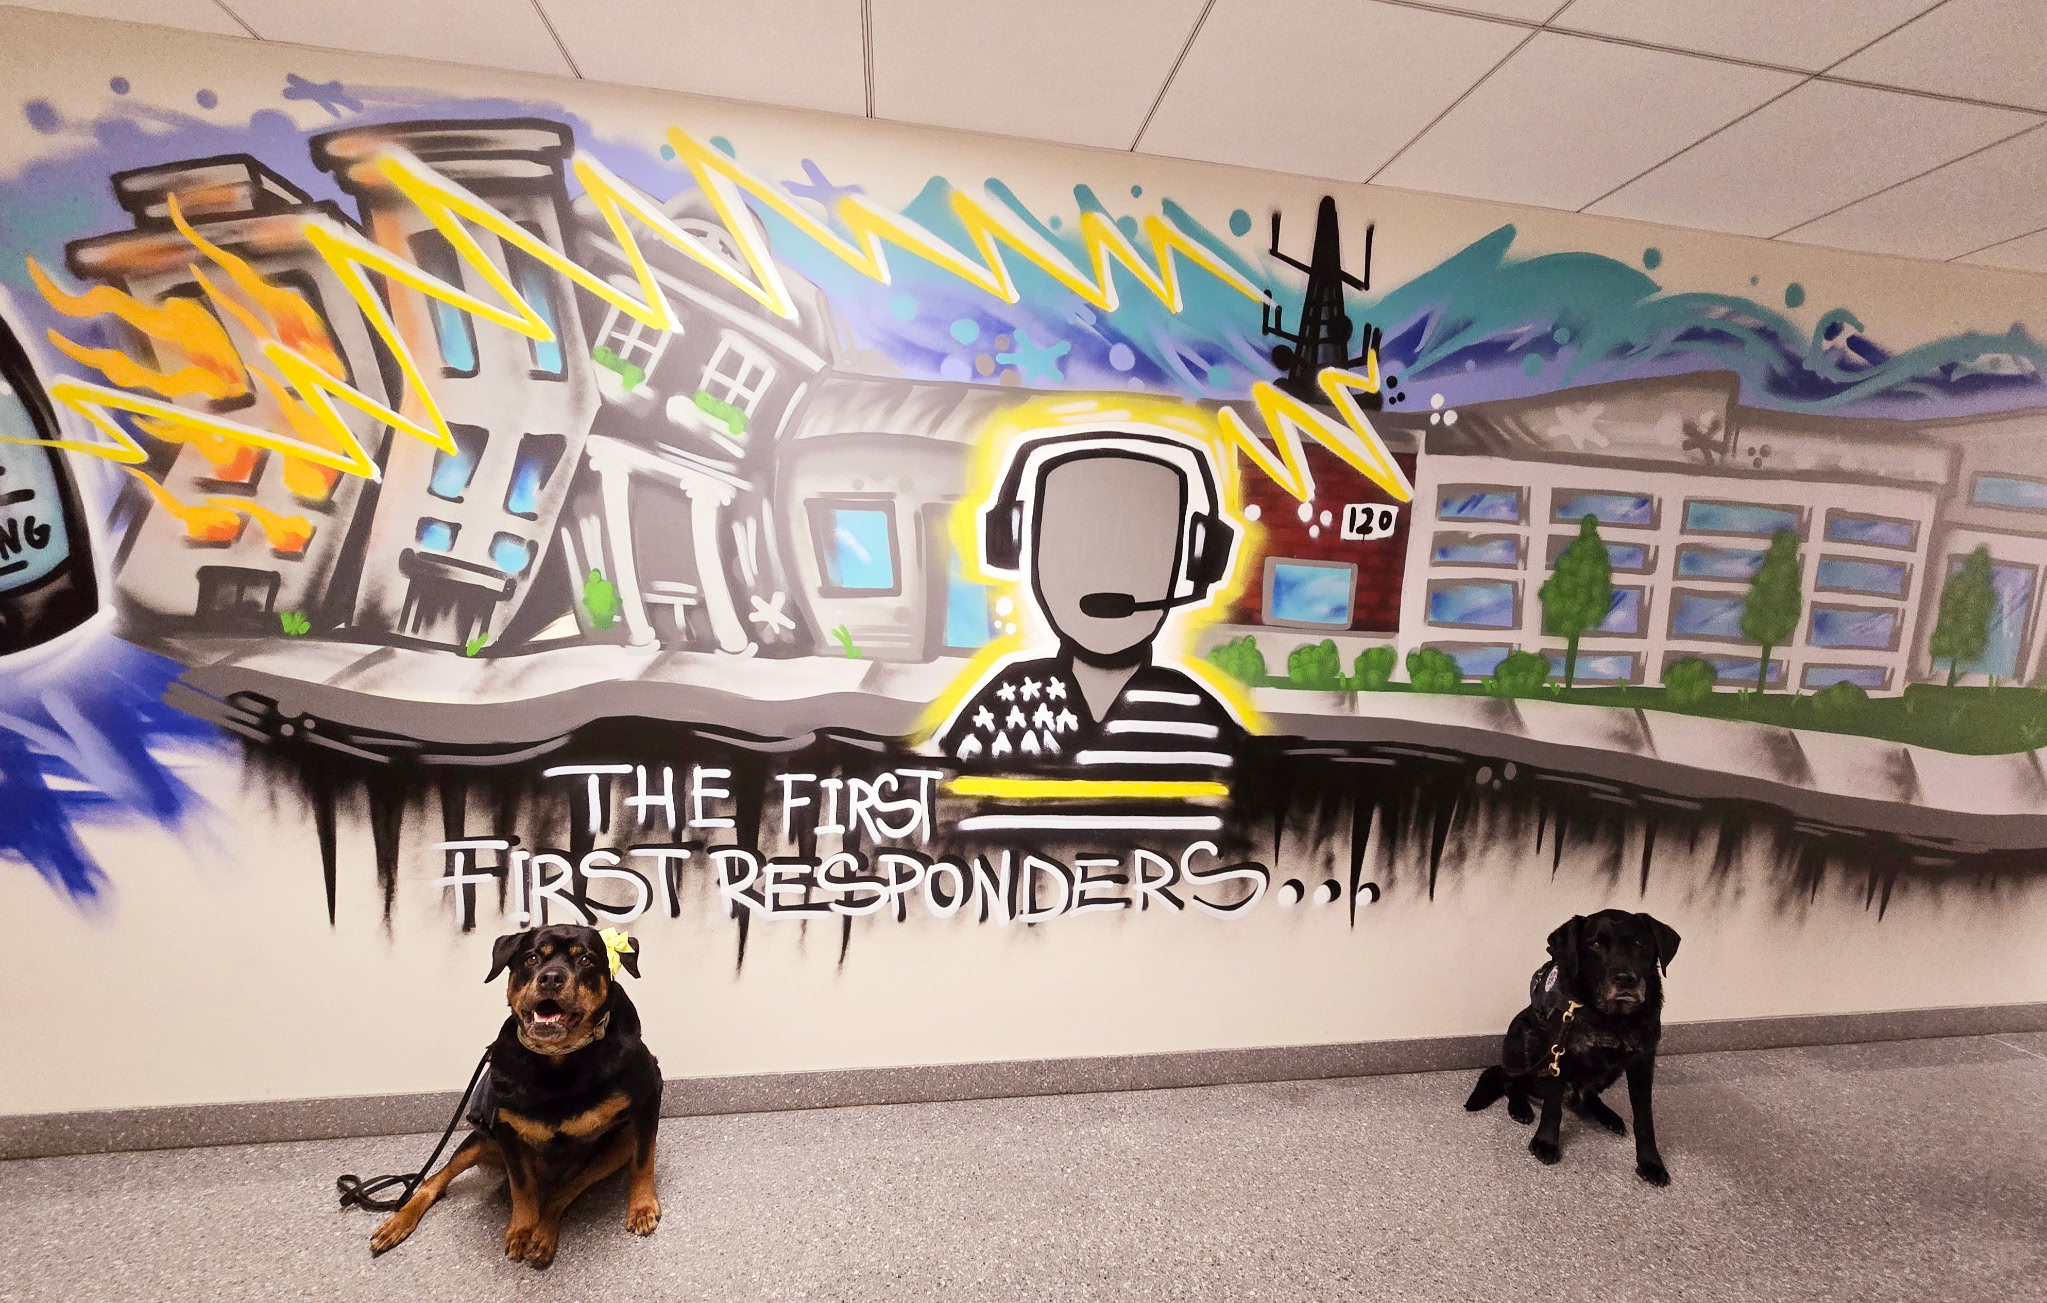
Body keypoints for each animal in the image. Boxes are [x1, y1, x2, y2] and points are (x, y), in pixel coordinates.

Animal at [369, 924, 663, 1267]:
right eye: (532, 958)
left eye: (586, 960)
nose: (551, 978)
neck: (558, 1061)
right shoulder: (505, 1128)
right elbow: (521, 1187)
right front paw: (521, 1229)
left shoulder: (648, 1097)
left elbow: (643, 1161)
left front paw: (642, 1208)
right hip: (481, 1139)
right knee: (434, 1180)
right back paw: (399, 1221)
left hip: (615, 1146)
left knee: (561, 1194)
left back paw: (543, 1235)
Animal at [1464, 910, 1679, 1185]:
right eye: (1595, 944)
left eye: (1640, 944)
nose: (1626, 979)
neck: (1611, 1018)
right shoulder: (1561, 1054)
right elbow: (1552, 1108)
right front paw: (1546, 1143)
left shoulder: (1642, 1063)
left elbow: (1644, 1120)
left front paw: (1651, 1163)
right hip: (1523, 1034)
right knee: (1510, 1080)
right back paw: (1519, 1106)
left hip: (1610, 1070)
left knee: (1587, 1096)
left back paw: (1607, 1115)